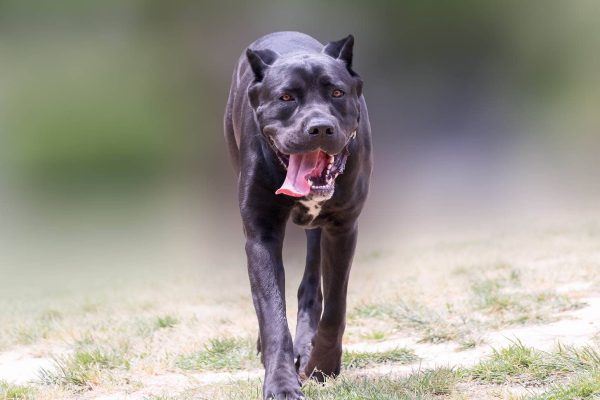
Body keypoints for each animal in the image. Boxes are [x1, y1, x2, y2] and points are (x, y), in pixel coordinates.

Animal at [224, 32, 370, 400]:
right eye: (286, 97)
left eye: (337, 93)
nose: (319, 128)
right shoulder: (260, 235)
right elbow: (273, 314)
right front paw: (280, 383)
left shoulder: (343, 227)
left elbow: (335, 305)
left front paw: (323, 364)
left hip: (319, 232)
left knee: (312, 287)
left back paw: (307, 347)